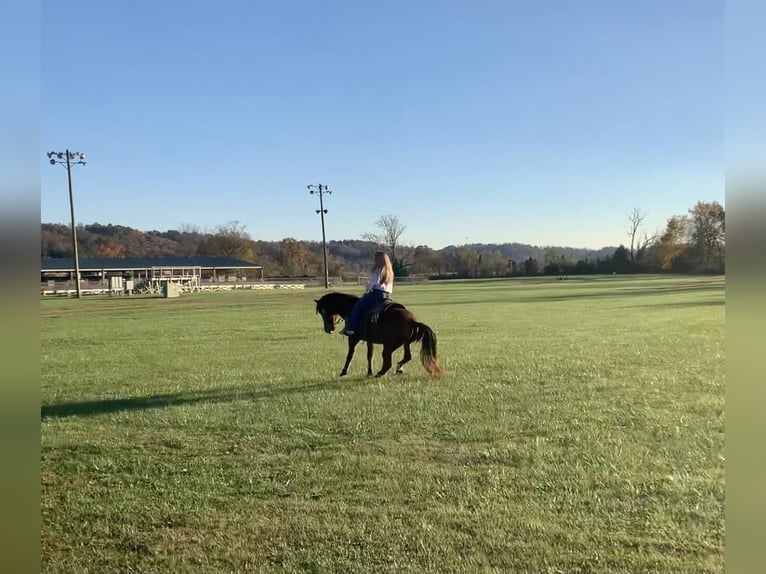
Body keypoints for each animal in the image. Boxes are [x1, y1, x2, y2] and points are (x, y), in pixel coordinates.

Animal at [314, 294, 444, 380]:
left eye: (323, 311)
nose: (328, 329)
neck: (351, 308)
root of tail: (412, 321)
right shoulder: (369, 340)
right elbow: (369, 356)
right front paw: (369, 372)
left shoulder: (353, 339)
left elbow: (350, 355)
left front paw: (344, 371)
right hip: (405, 344)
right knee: (407, 357)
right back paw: (397, 369)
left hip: (388, 346)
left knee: (388, 363)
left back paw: (379, 374)